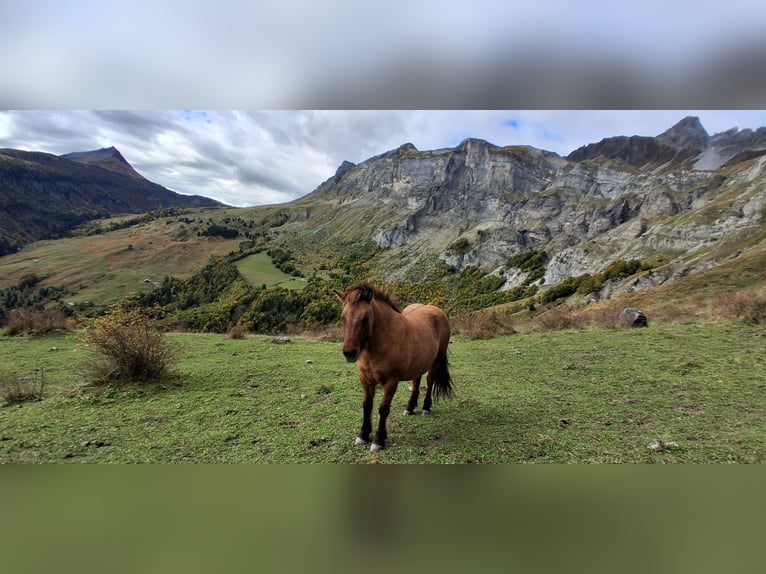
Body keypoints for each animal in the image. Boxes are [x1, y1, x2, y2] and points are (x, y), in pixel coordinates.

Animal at [335, 283, 453, 453]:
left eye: (365, 318)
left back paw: (426, 407)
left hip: (436, 361)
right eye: (343, 317)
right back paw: (410, 407)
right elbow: (367, 406)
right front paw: (363, 435)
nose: (349, 353)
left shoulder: (391, 382)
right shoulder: (365, 380)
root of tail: (437, 311)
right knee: (416, 381)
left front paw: (378, 440)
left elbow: (383, 409)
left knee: (430, 381)